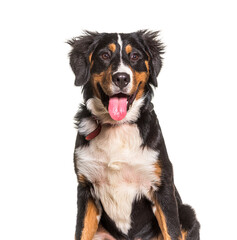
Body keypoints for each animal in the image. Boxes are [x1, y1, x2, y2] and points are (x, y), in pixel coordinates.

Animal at [68, 30, 200, 240]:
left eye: (135, 56)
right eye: (104, 55)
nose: (121, 78)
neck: (117, 127)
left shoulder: (162, 186)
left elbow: (171, 230)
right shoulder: (86, 188)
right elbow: (82, 231)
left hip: (187, 213)